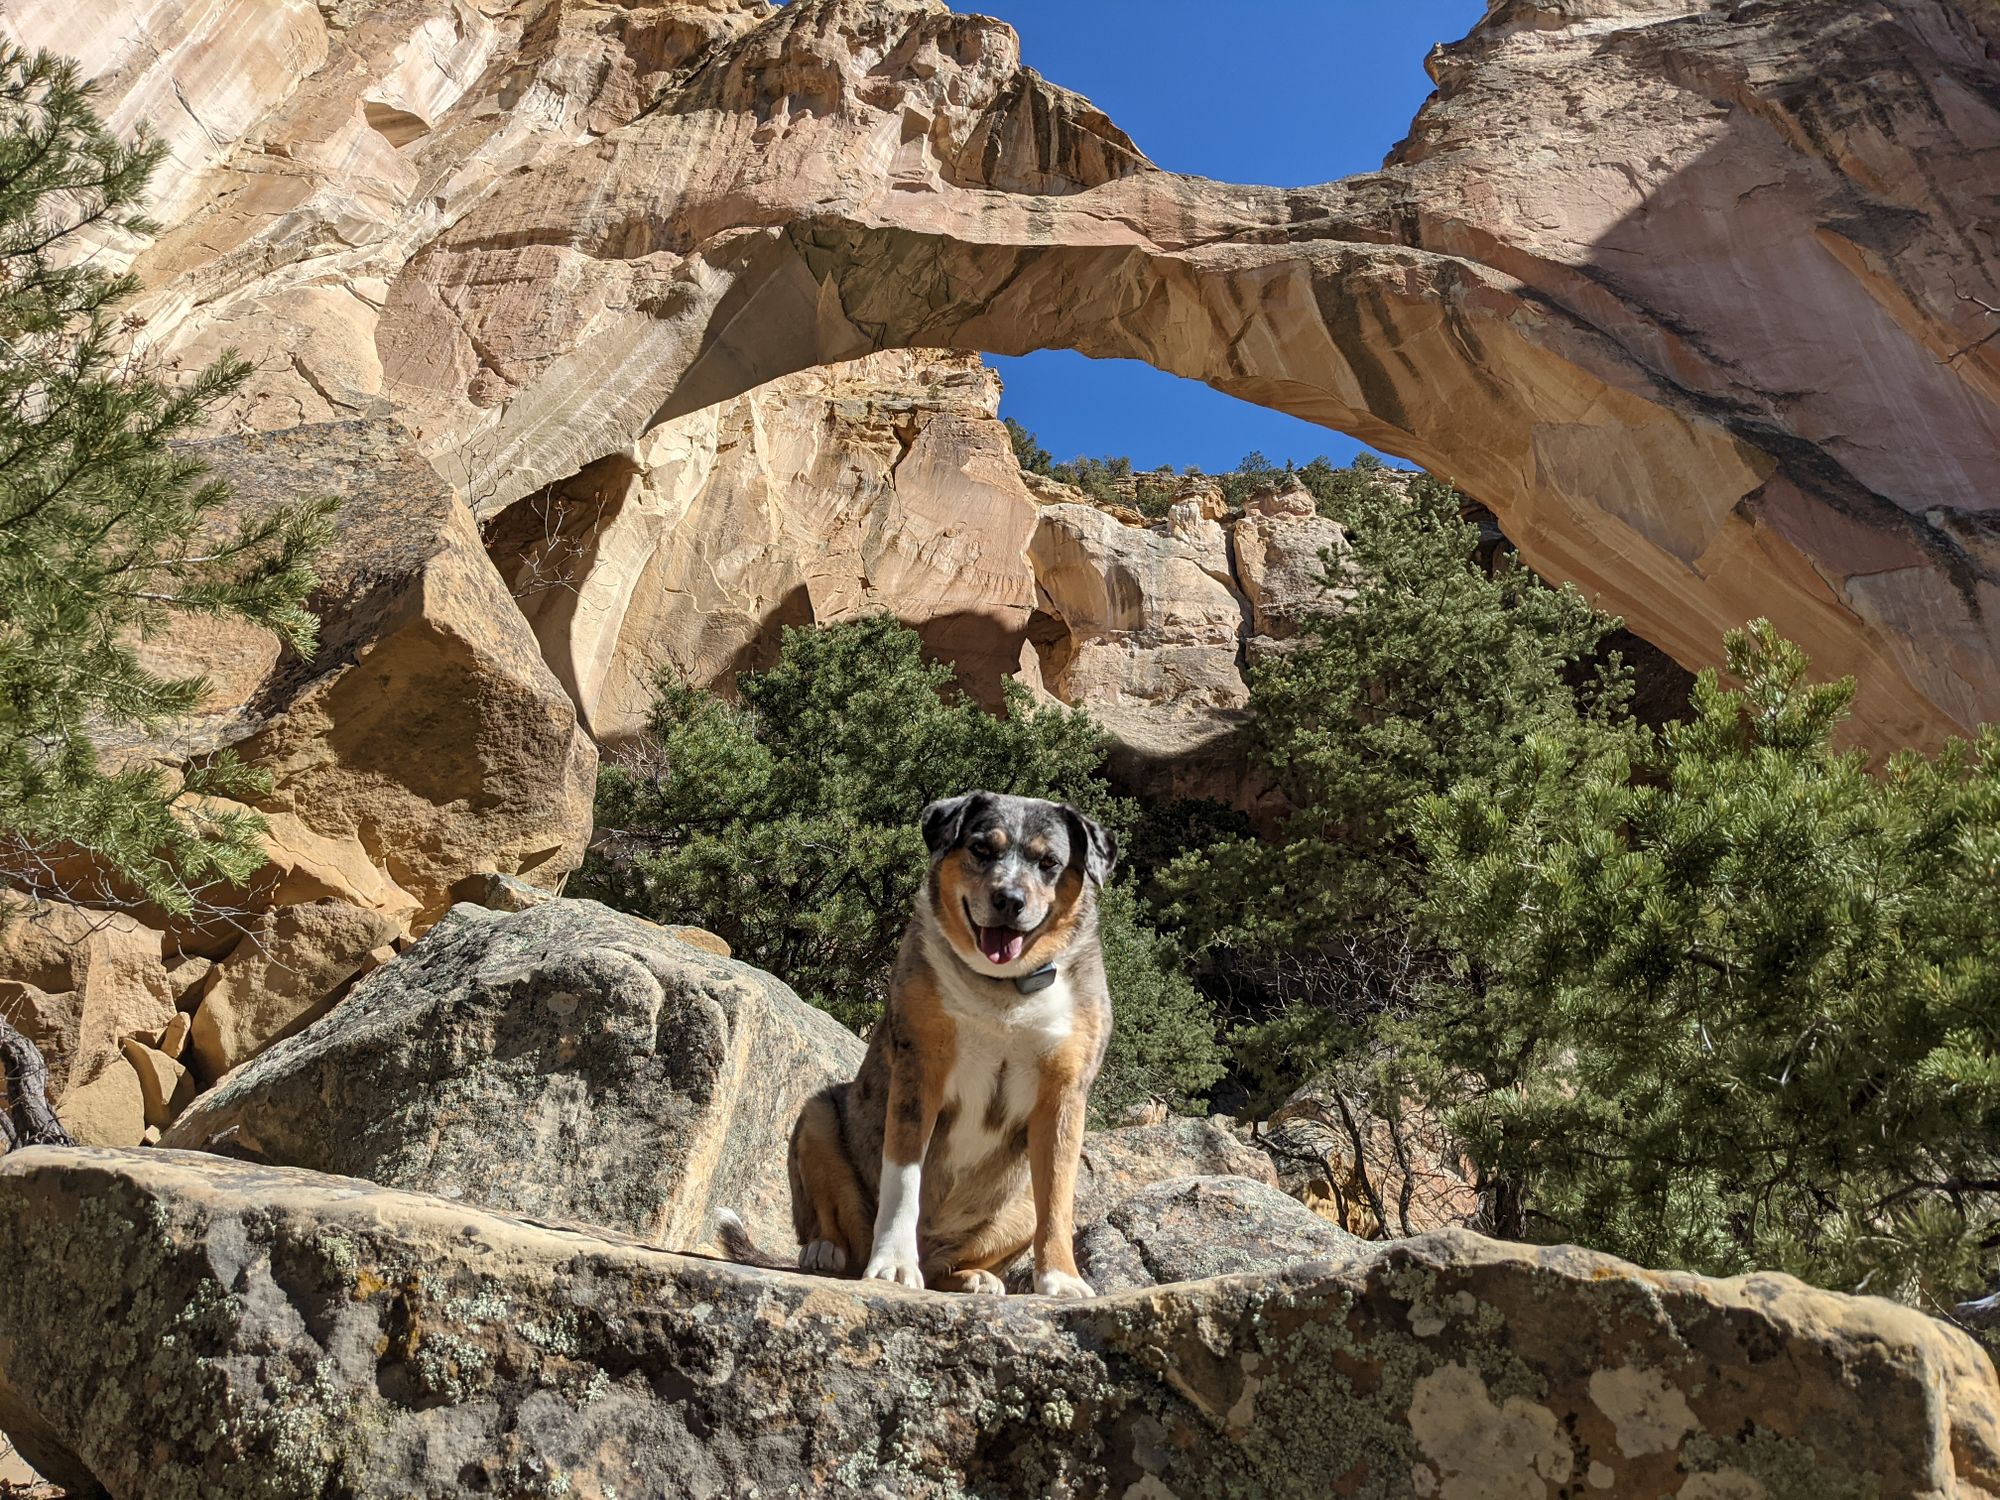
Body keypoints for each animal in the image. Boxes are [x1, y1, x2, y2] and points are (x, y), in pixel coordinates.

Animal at [720, 792, 1120, 1296]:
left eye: (1049, 862)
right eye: (981, 848)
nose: (1009, 899)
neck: (1002, 990)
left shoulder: (1064, 1093)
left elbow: (1058, 1200)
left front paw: (1061, 1279)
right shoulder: (919, 1075)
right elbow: (903, 1181)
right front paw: (893, 1263)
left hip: (1016, 1204)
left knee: (961, 1260)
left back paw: (972, 1277)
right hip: (817, 1117)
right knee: (831, 1224)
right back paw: (825, 1252)